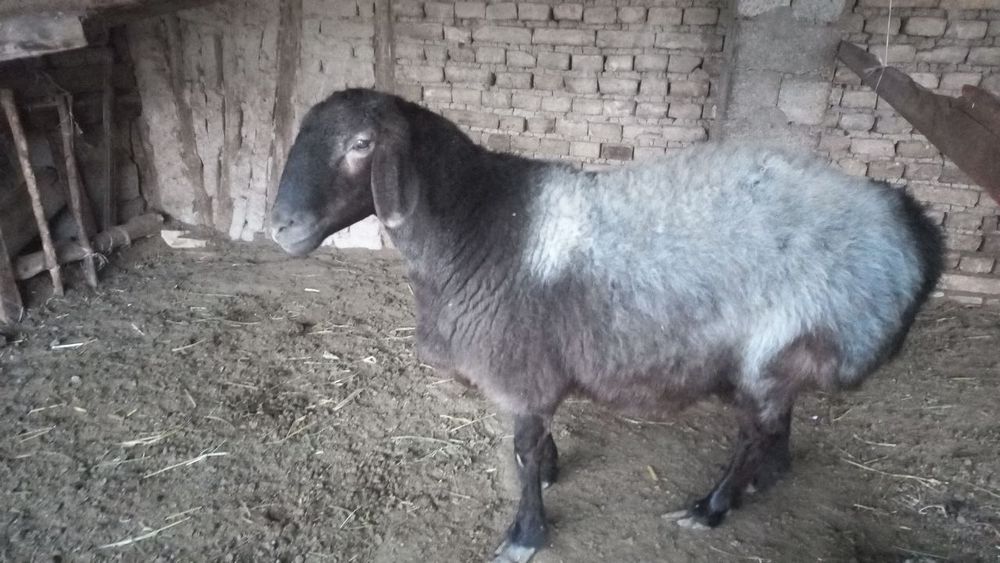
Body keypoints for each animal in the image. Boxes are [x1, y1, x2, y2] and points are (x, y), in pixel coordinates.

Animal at [269, 88, 943, 563]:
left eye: (361, 145)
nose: (280, 227)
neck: (477, 225)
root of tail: (907, 220)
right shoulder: (534, 371)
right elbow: (535, 443)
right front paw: (549, 471)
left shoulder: (520, 367)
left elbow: (523, 446)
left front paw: (526, 534)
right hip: (783, 355)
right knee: (778, 422)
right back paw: (765, 479)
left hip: (774, 347)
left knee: (754, 433)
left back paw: (712, 506)